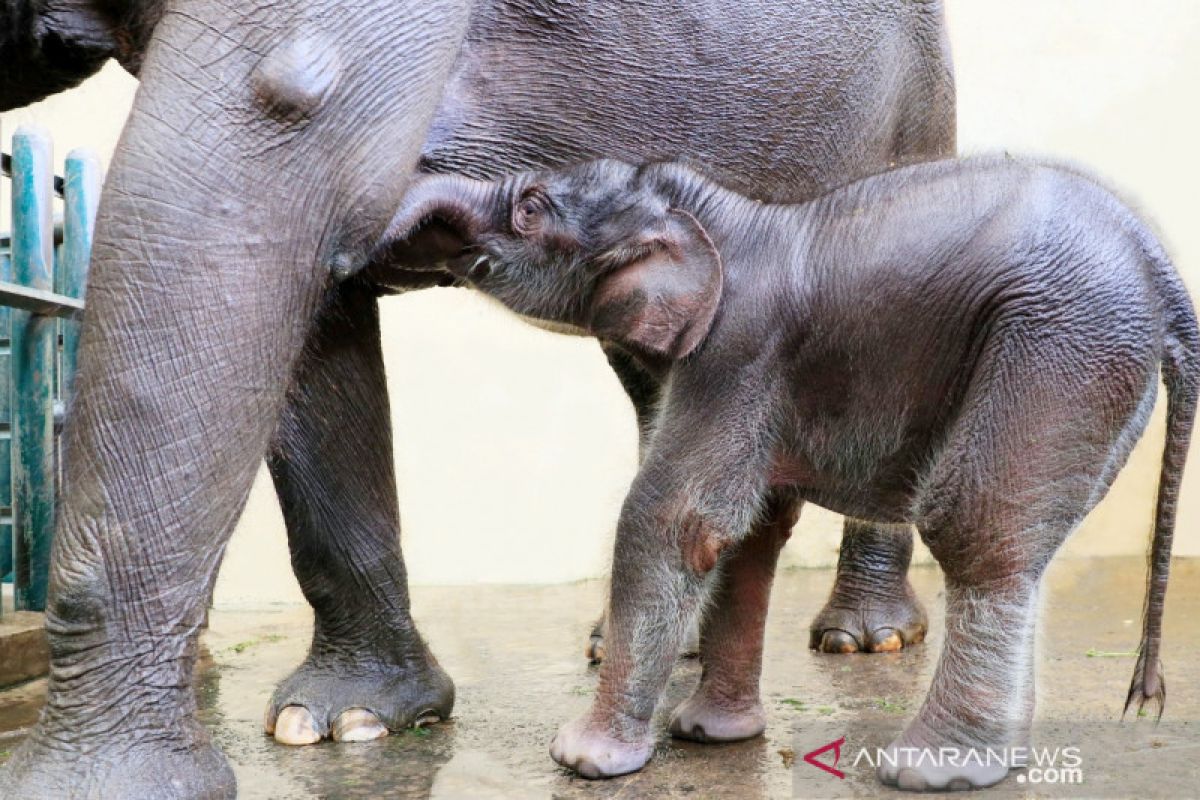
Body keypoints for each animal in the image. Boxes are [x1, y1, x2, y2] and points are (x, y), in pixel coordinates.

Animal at [2, 3, 955, 796]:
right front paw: (345, 723)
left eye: (534, 206)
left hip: (917, 105)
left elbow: (247, 179)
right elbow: (301, 316)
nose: (413, 229)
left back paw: (865, 638)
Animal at [379, 154, 1195, 786]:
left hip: (1059, 347)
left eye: (529, 209)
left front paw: (584, 760)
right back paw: (1003, 763)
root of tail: (1163, 270)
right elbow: (749, 535)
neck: (712, 213)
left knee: (976, 532)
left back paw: (934, 771)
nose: (385, 256)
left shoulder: (736, 352)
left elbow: (675, 523)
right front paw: (711, 737)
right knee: (1018, 549)